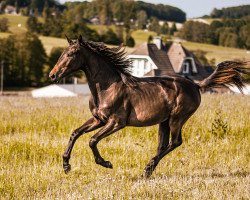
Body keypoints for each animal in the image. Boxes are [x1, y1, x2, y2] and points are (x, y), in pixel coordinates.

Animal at [49, 35, 250, 177]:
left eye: (71, 54)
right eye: (62, 53)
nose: (52, 75)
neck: (107, 87)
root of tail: (195, 85)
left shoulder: (116, 122)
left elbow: (92, 140)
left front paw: (106, 163)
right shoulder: (98, 119)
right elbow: (75, 133)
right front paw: (66, 166)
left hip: (177, 118)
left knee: (175, 142)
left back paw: (147, 168)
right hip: (164, 121)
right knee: (163, 145)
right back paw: (149, 170)